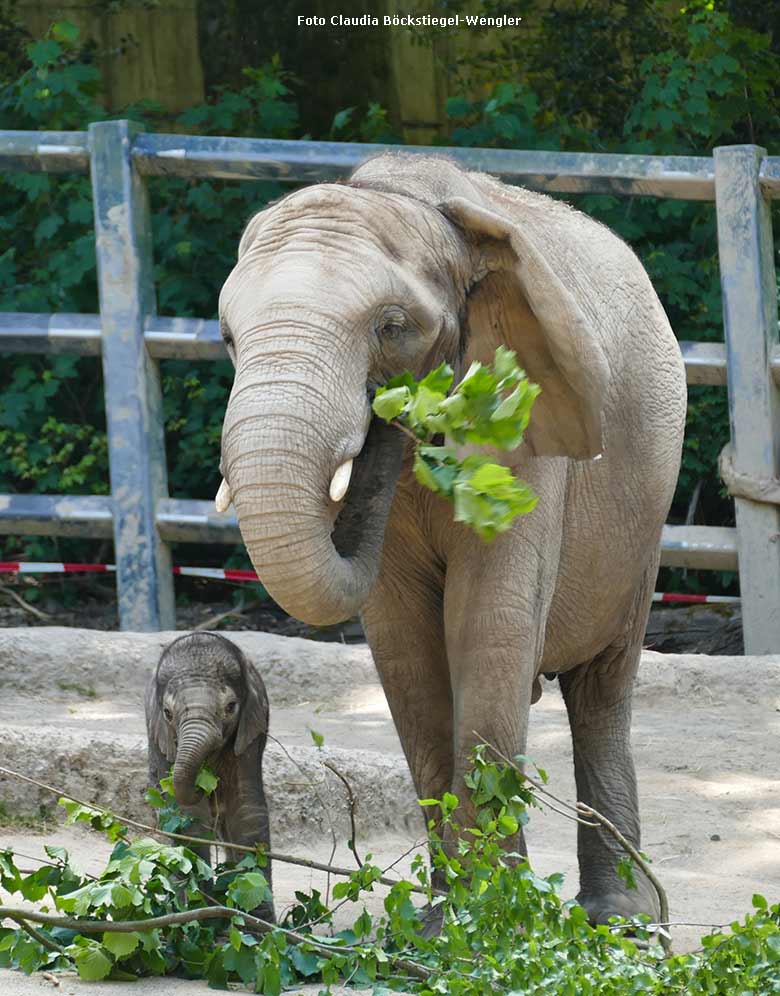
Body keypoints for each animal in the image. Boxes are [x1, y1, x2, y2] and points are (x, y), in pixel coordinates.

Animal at [145, 632, 276, 920]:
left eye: (231, 707)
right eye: (167, 713)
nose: (204, 785)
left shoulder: (252, 728)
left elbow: (246, 810)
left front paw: (257, 921)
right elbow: (188, 816)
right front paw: (195, 913)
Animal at [216, 156, 684, 924]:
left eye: (391, 326)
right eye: (228, 338)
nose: (382, 423)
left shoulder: (524, 416)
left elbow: (488, 628)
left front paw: (498, 921)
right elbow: (406, 649)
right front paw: (442, 925)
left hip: (648, 501)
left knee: (603, 687)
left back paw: (623, 920)